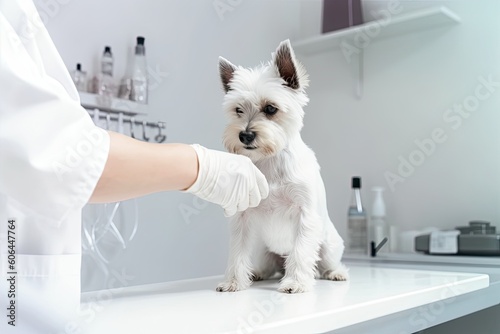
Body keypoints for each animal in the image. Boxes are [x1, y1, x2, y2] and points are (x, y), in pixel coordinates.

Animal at [217, 40, 350, 294]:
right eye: (238, 110)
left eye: (270, 109)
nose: (245, 135)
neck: (270, 160)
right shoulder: (243, 219)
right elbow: (238, 252)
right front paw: (233, 282)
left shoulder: (305, 215)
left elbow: (301, 251)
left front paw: (295, 283)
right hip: (264, 250)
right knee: (267, 265)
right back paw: (258, 273)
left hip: (328, 243)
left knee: (326, 262)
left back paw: (335, 273)